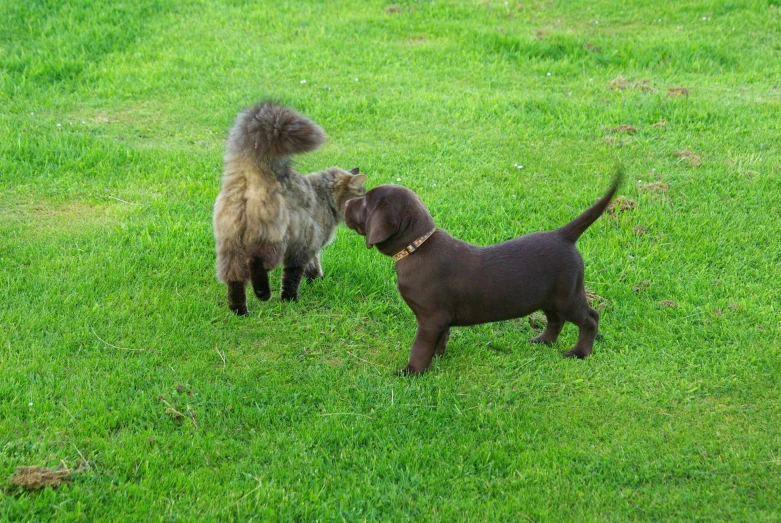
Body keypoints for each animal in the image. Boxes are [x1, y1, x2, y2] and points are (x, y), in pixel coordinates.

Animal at [344, 173, 620, 376]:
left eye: (366, 203)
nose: (346, 203)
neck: (417, 246)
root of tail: (563, 235)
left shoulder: (430, 317)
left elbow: (420, 347)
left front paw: (413, 371)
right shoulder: (441, 318)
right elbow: (441, 338)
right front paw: (438, 357)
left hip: (567, 295)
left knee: (590, 318)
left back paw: (579, 353)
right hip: (548, 296)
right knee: (555, 320)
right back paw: (543, 341)